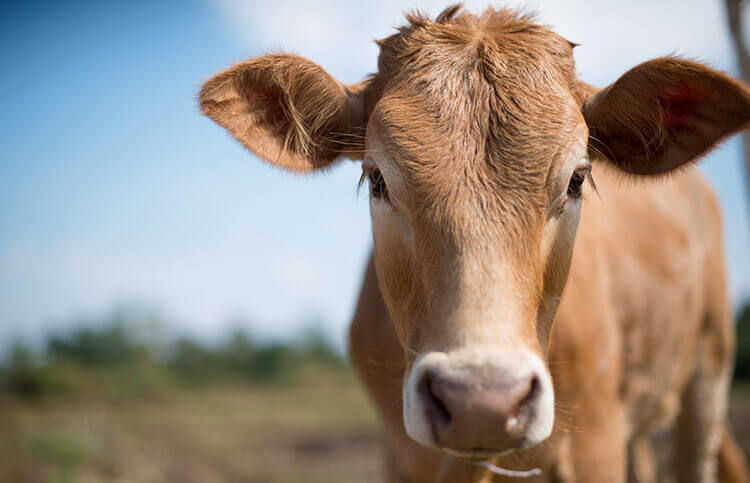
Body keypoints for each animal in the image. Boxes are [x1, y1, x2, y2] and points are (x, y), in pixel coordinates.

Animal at [200, 5, 750, 482]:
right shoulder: (400, 457)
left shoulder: (598, 445)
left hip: (709, 370)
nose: (481, 402)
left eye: (576, 179)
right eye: (377, 178)